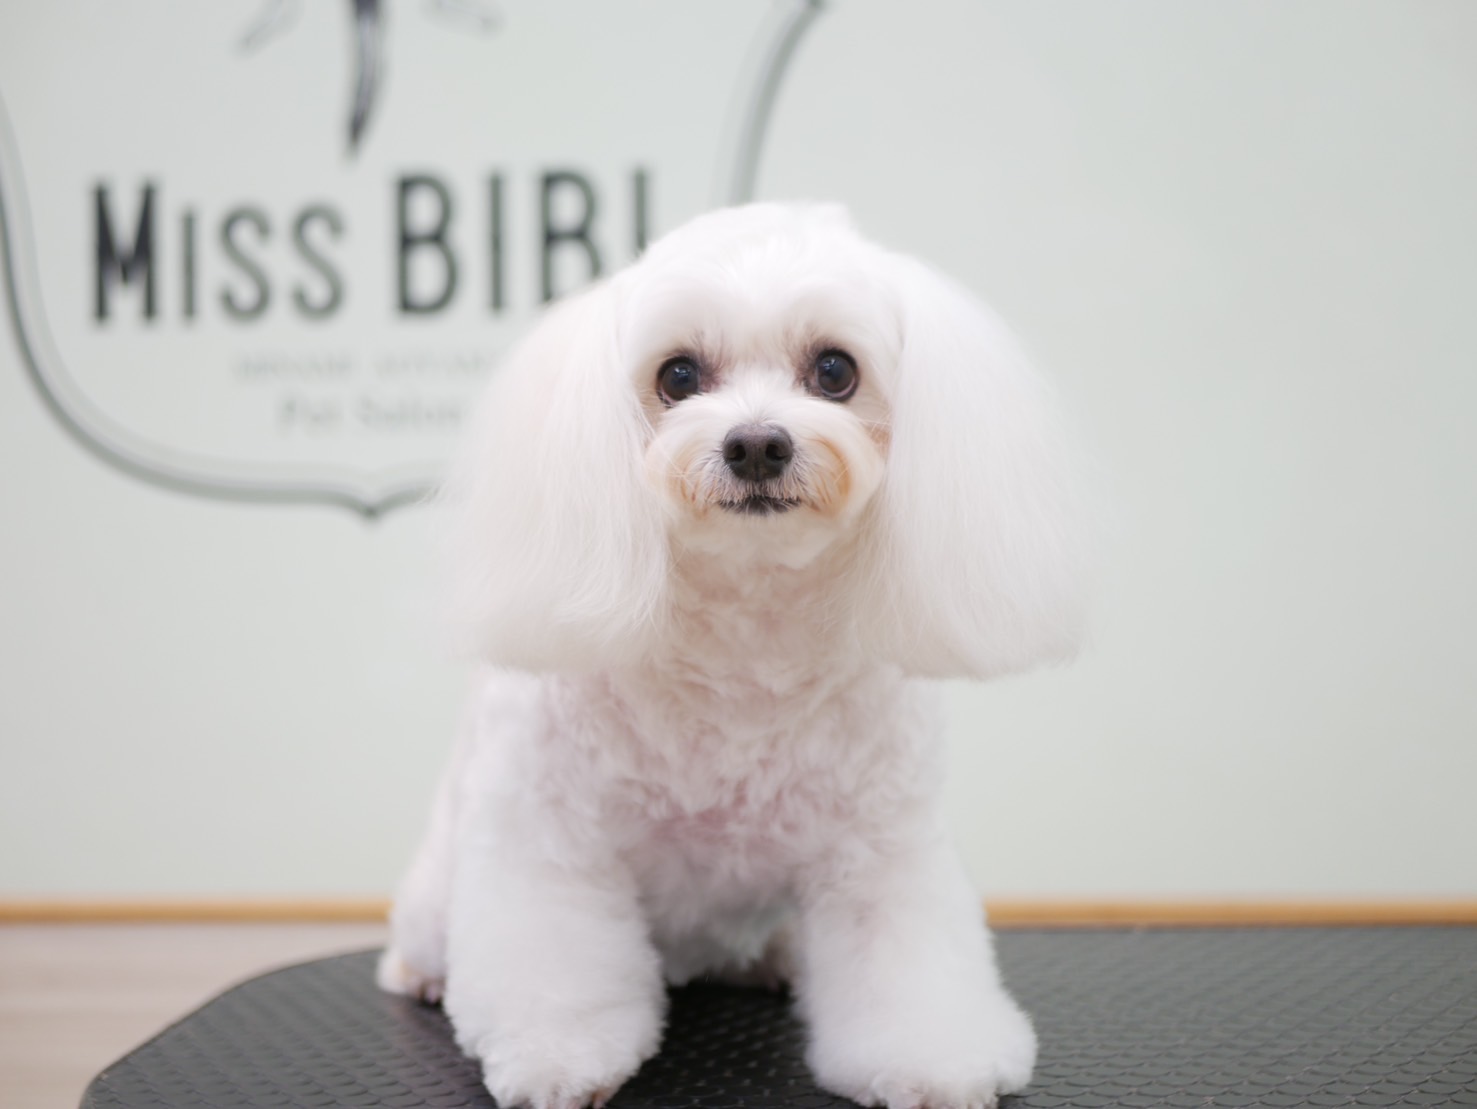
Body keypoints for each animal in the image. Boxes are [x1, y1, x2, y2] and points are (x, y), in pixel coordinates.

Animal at [378, 203, 1089, 1109]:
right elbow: (555, 959)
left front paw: (933, 1063)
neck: (747, 639)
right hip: (440, 887)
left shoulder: (879, 849)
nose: (756, 444)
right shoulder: (548, 836)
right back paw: (419, 972)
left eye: (834, 369)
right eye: (678, 374)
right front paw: (556, 1057)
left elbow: (903, 964)